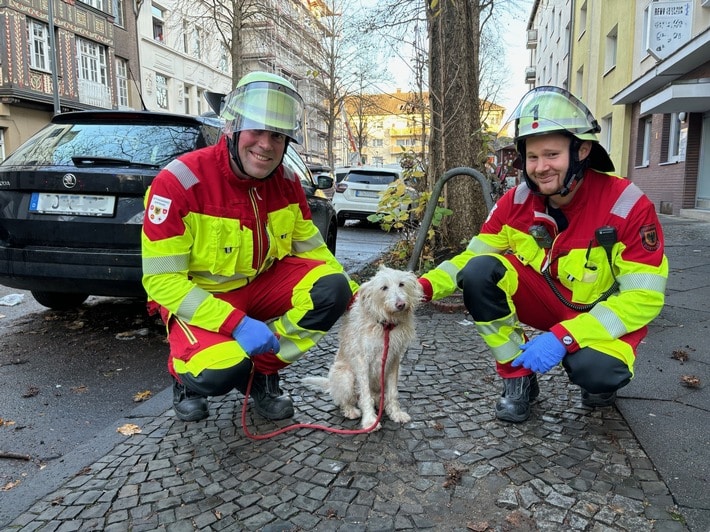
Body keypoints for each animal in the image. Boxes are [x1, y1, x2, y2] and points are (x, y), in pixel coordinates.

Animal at [304, 264, 422, 430]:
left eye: (401, 284)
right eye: (384, 287)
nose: (401, 304)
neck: (385, 326)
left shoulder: (394, 361)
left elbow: (393, 392)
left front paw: (396, 413)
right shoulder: (362, 362)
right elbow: (365, 395)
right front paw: (370, 421)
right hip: (345, 376)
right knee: (343, 400)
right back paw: (351, 410)